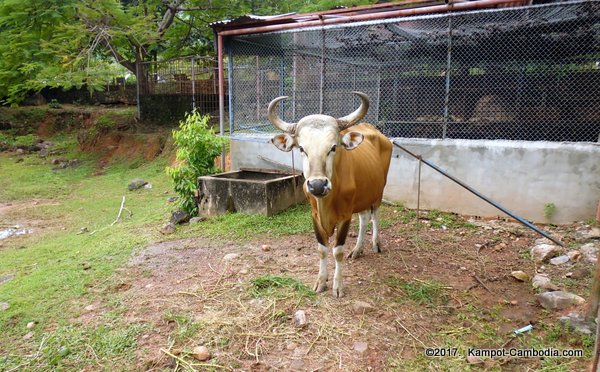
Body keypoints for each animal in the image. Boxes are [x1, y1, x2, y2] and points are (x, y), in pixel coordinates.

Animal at [268, 91, 394, 296]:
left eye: (333, 147)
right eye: (301, 148)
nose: (317, 185)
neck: (327, 202)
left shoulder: (345, 216)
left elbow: (338, 250)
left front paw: (338, 286)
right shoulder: (314, 215)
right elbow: (322, 249)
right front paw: (321, 281)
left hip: (378, 193)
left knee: (374, 216)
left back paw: (376, 244)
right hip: (362, 196)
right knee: (364, 218)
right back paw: (357, 250)